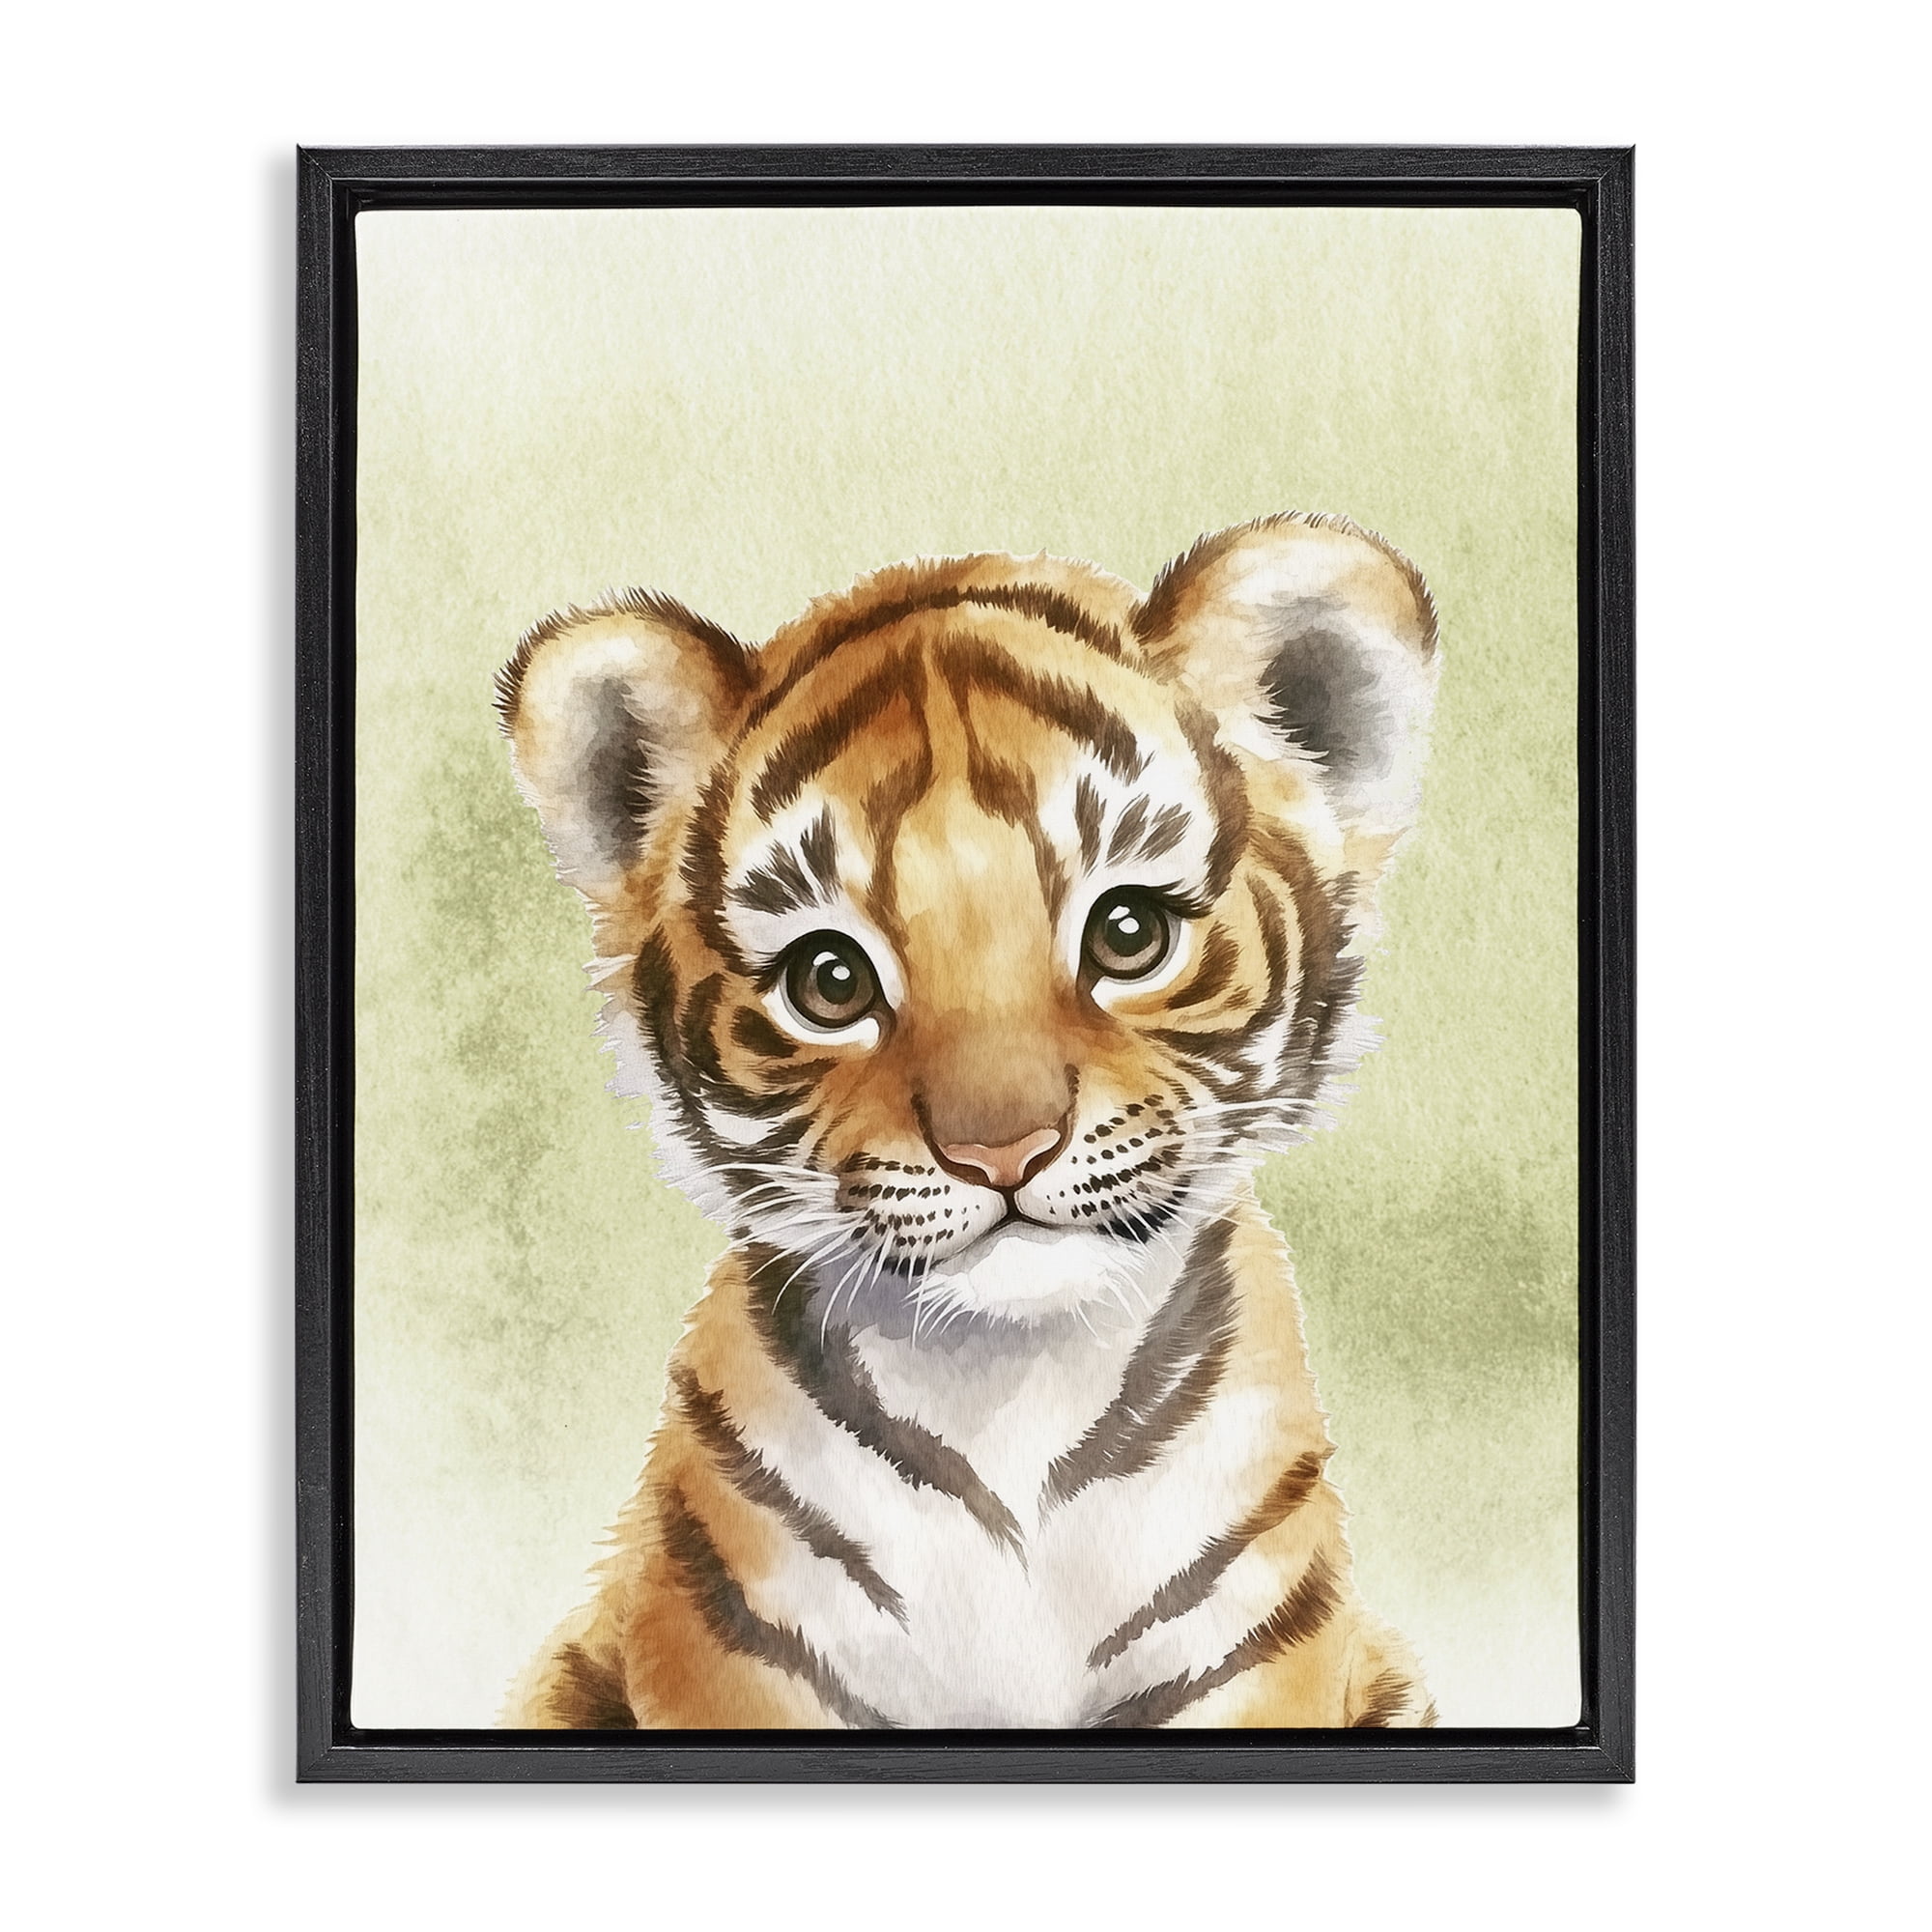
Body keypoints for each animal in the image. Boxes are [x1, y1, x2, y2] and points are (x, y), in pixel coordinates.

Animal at [495, 512, 1440, 1730]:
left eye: (1128, 932)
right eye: (830, 980)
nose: (1001, 1148)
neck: (1010, 1391)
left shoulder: (1248, 1657)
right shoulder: (735, 1662)